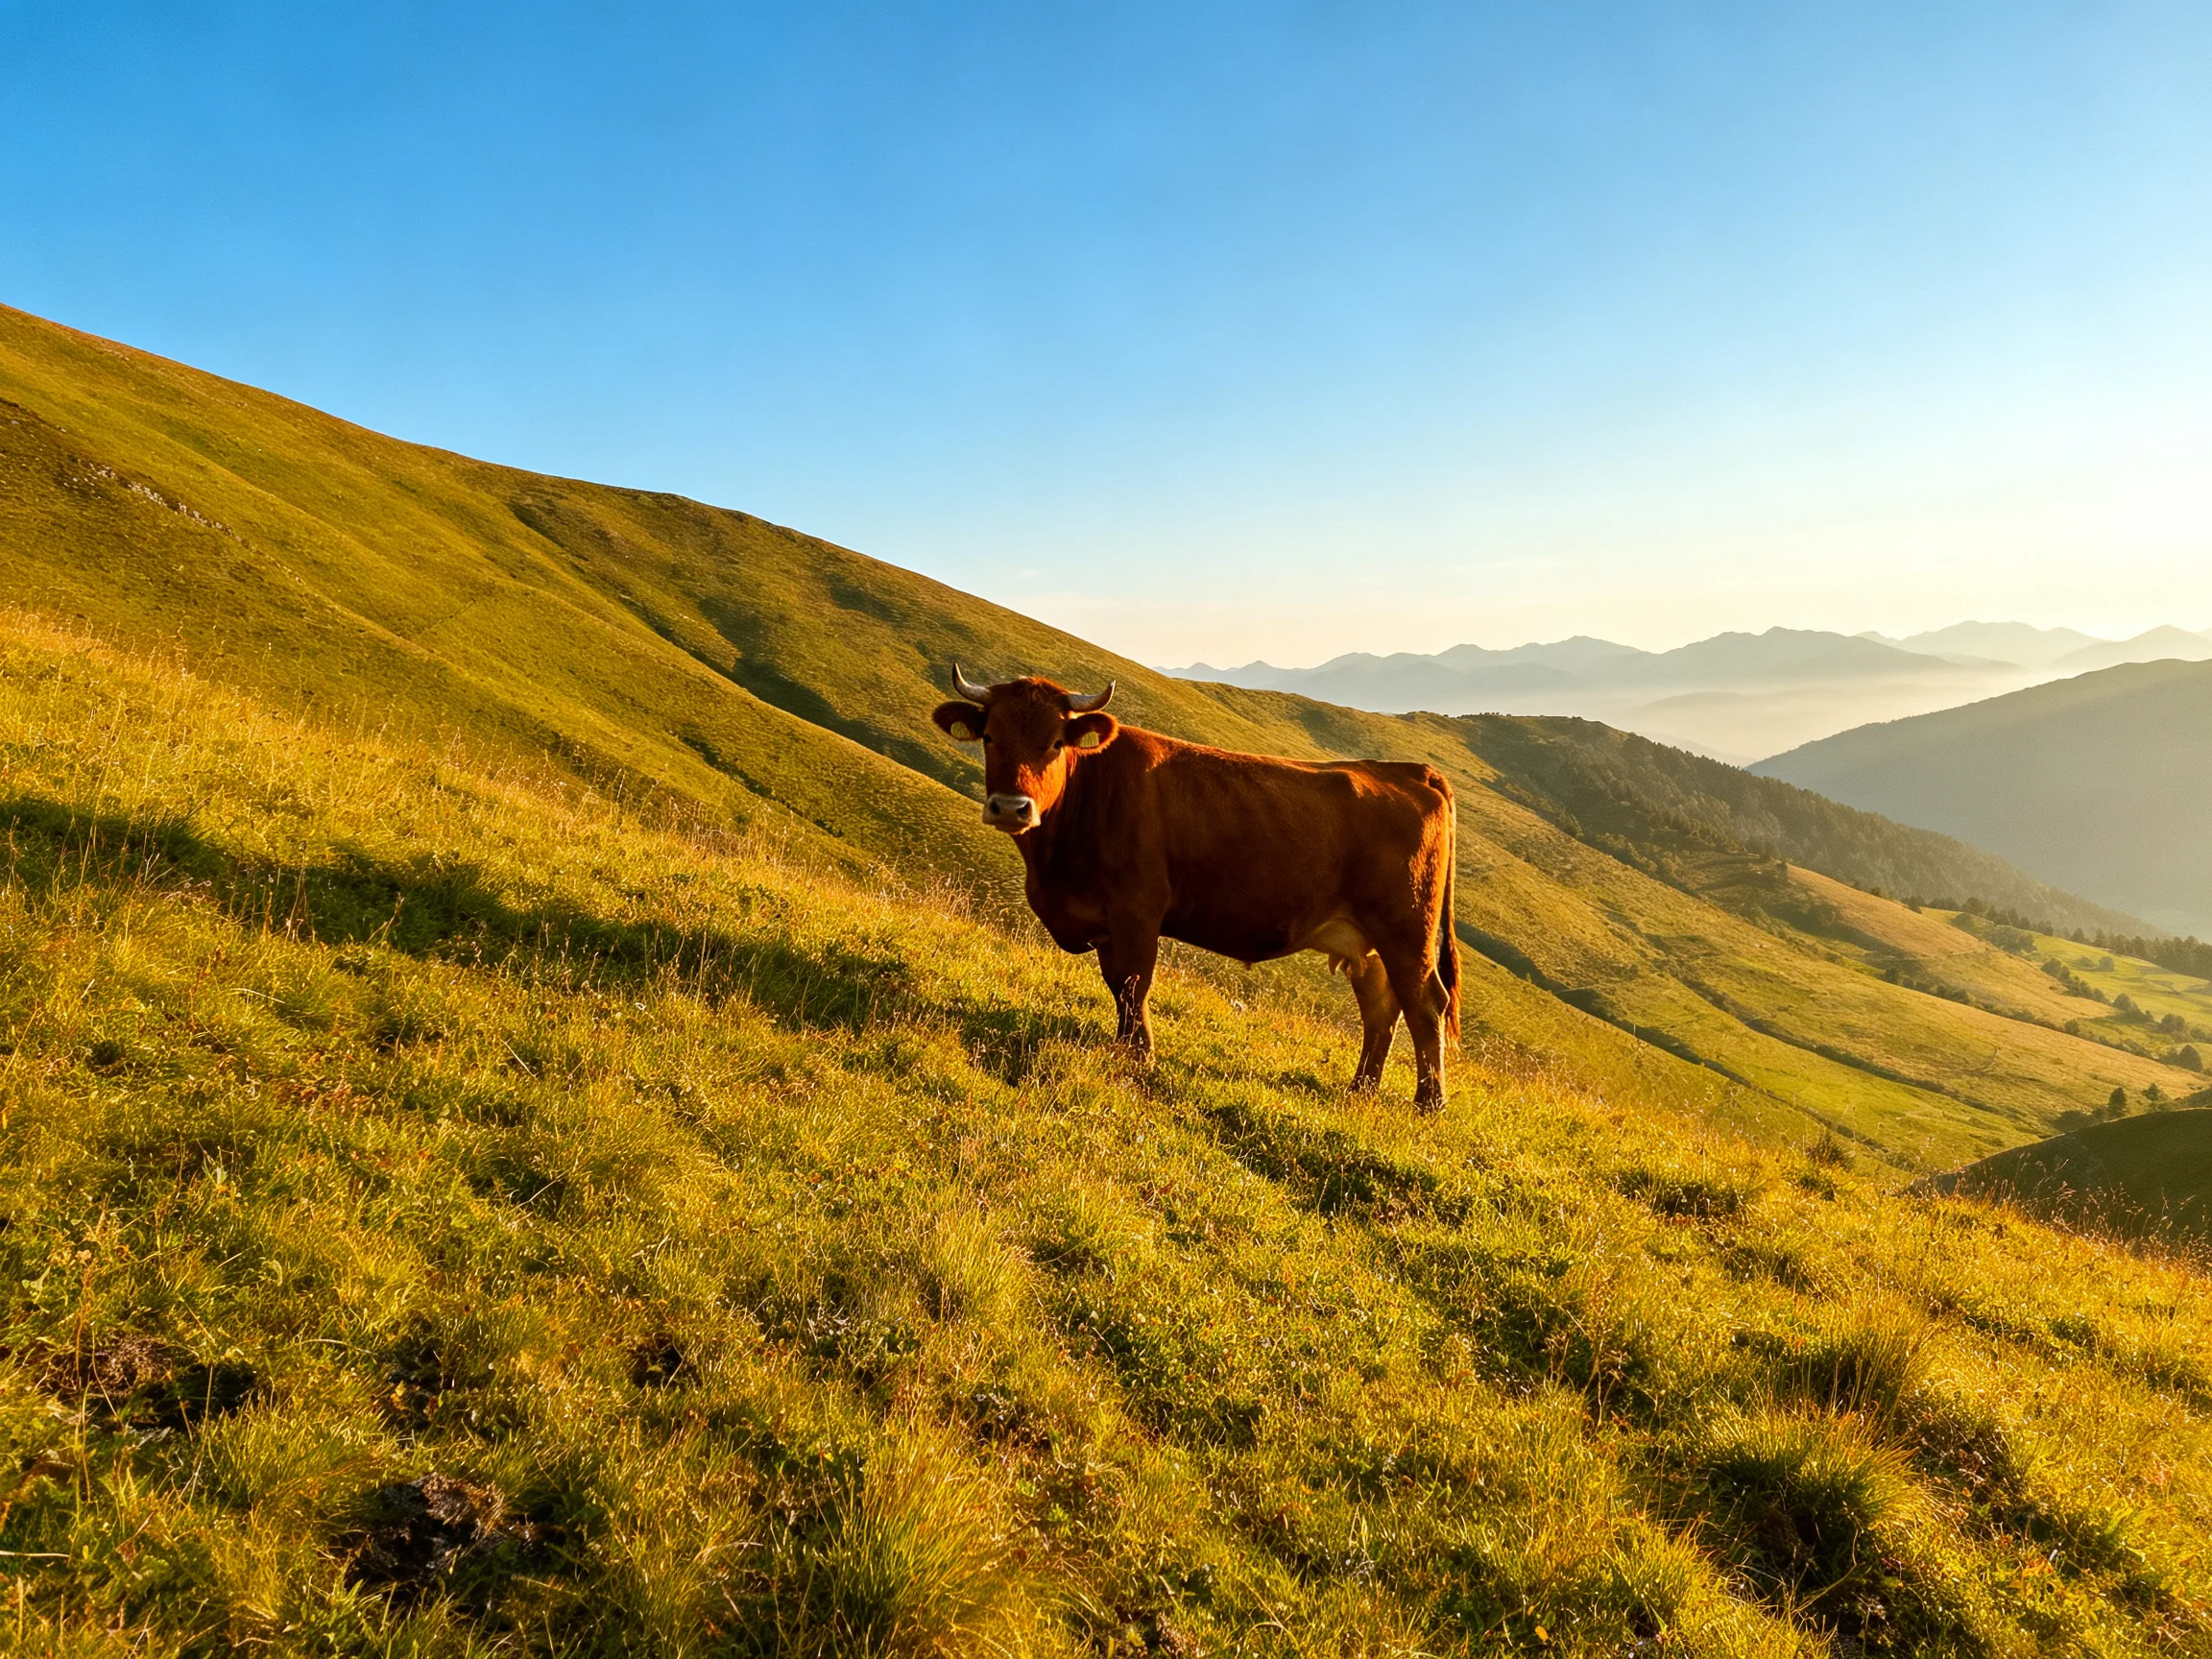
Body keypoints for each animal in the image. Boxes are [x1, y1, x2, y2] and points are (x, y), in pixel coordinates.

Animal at [930, 667, 1460, 1108]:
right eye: (990, 737)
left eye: (1057, 742)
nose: (1010, 807)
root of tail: (1408, 770)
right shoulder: (1106, 922)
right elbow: (1116, 984)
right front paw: (1129, 1048)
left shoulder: (1137, 910)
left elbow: (1133, 983)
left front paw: (1138, 1055)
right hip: (1364, 941)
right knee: (1381, 1007)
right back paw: (1361, 1090)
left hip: (1405, 931)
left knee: (1424, 1004)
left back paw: (1429, 1103)